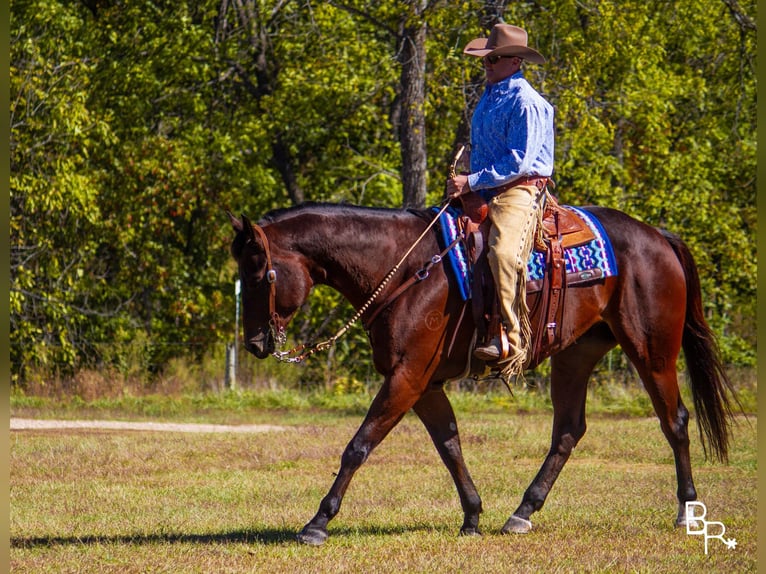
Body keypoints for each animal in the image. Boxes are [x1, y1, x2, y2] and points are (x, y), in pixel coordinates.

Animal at [226, 204, 736, 548]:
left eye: (258, 276)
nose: (254, 344)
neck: (405, 268)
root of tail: (659, 237)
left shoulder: (407, 377)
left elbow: (359, 445)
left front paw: (318, 521)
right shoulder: (423, 383)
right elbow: (449, 445)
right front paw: (472, 515)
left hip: (652, 352)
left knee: (675, 421)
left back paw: (686, 510)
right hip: (576, 356)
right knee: (568, 431)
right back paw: (523, 511)